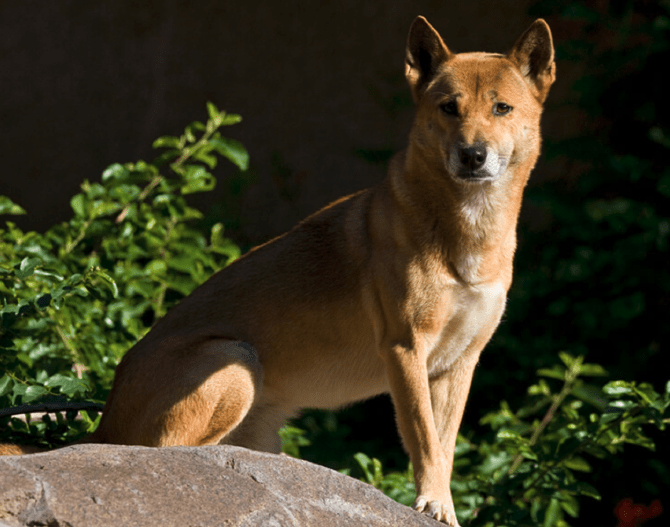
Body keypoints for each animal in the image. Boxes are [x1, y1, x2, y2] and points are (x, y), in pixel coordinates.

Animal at [1, 15, 556, 524]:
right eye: (448, 108)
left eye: (501, 108)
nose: (472, 155)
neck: (469, 230)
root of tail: (105, 420)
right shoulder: (405, 349)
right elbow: (424, 441)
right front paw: (434, 504)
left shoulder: (460, 362)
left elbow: (444, 445)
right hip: (234, 358)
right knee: (161, 454)